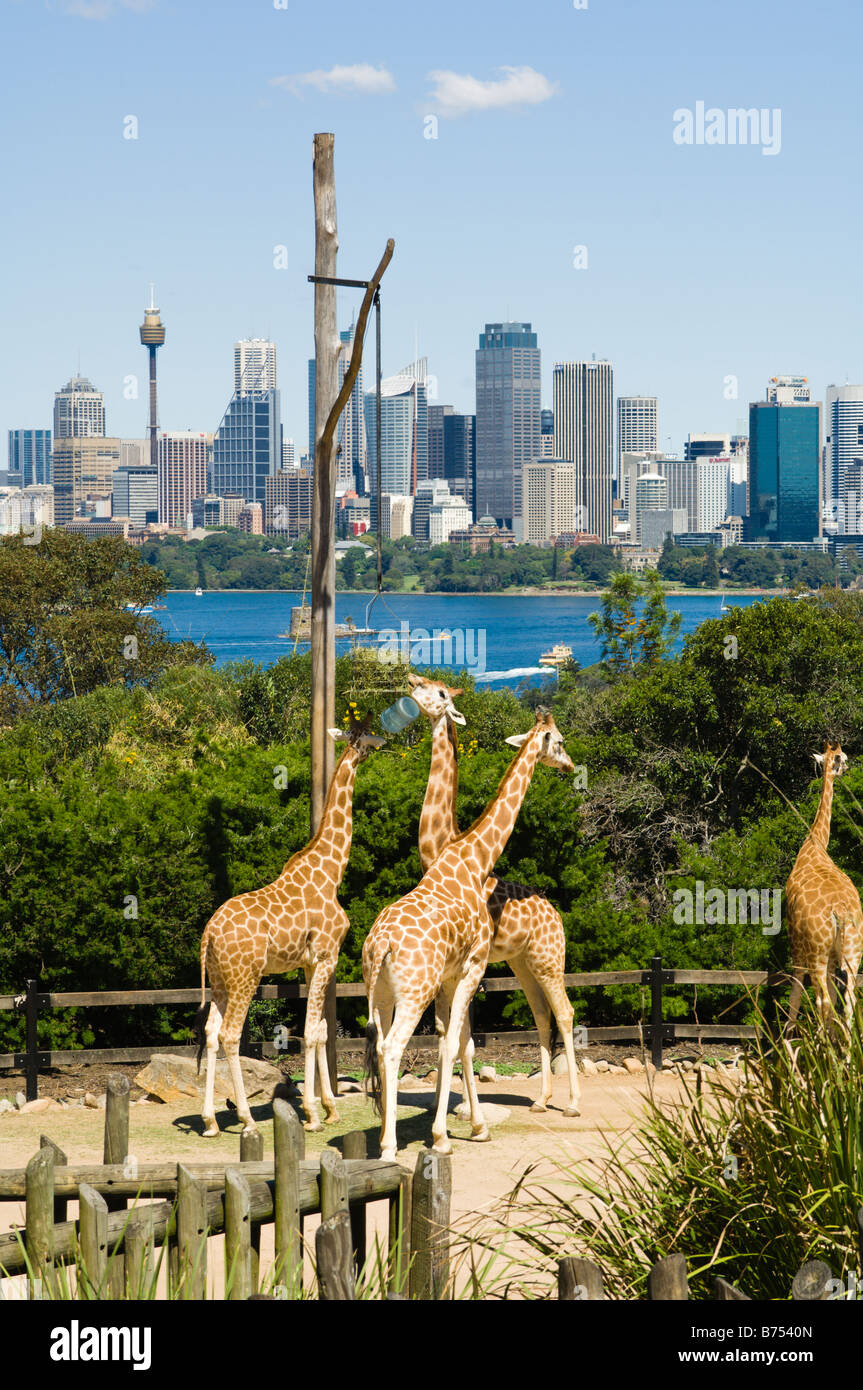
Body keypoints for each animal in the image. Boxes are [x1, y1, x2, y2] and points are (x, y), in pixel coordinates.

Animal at [195, 711, 384, 1137]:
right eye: (366, 736)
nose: (382, 743)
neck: (332, 871)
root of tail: (208, 934)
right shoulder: (328, 955)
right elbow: (313, 1032)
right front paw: (313, 1114)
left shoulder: (311, 962)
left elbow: (320, 1030)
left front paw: (330, 1108)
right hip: (245, 976)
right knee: (230, 1034)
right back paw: (247, 1118)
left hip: (218, 979)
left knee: (211, 1032)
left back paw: (211, 1120)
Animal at [408, 672, 580, 1117]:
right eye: (560, 740)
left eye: (438, 691)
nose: (570, 763)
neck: (443, 842)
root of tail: (557, 916)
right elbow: (448, 1031)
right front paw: (454, 1107)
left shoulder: (473, 961)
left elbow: (460, 1034)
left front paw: (463, 1110)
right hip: (523, 962)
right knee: (542, 1014)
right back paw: (541, 1100)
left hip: (549, 959)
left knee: (565, 1011)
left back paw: (573, 1103)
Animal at [785, 741, 863, 1033]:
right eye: (844, 758)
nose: (848, 768)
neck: (815, 844)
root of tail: (839, 910)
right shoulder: (832, 955)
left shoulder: (795, 938)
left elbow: (796, 988)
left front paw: (786, 1036)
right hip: (852, 949)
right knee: (848, 1002)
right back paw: (843, 1046)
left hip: (817, 952)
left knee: (824, 1002)